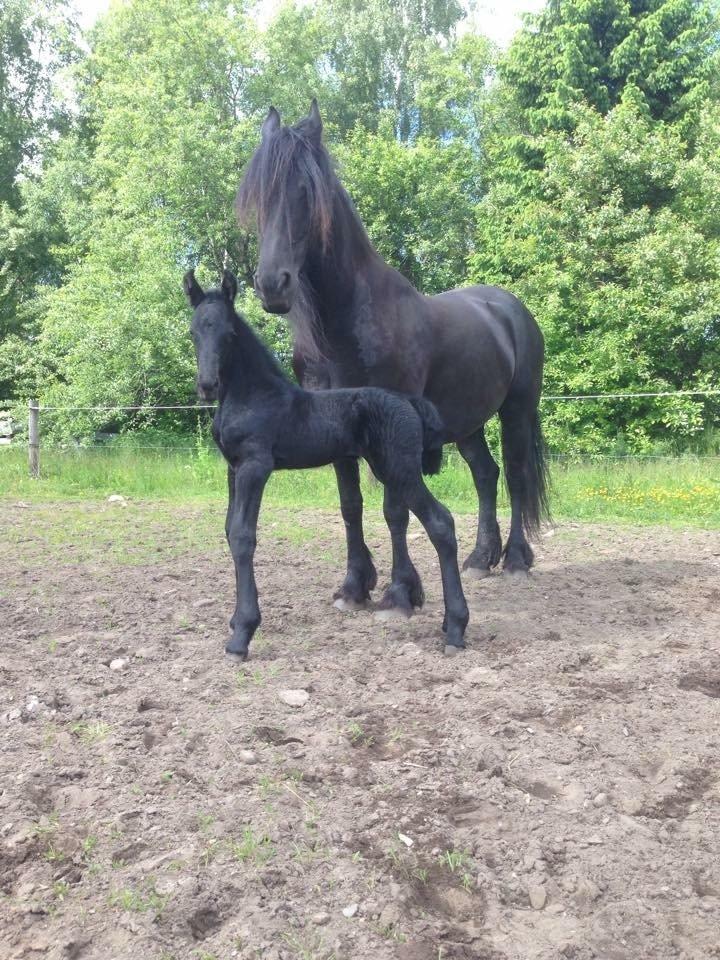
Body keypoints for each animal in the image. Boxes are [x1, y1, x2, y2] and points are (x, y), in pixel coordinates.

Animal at [183, 270, 470, 660]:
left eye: (228, 334)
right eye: (193, 332)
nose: (208, 386)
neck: (252, 396)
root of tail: (410, 403)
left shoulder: (255, 467)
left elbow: (243, 535)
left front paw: (242, 633)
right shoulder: (233, 468)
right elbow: (229, 530)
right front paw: (234, 622)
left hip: (400, 469)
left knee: (441, 522)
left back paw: (455, 628)